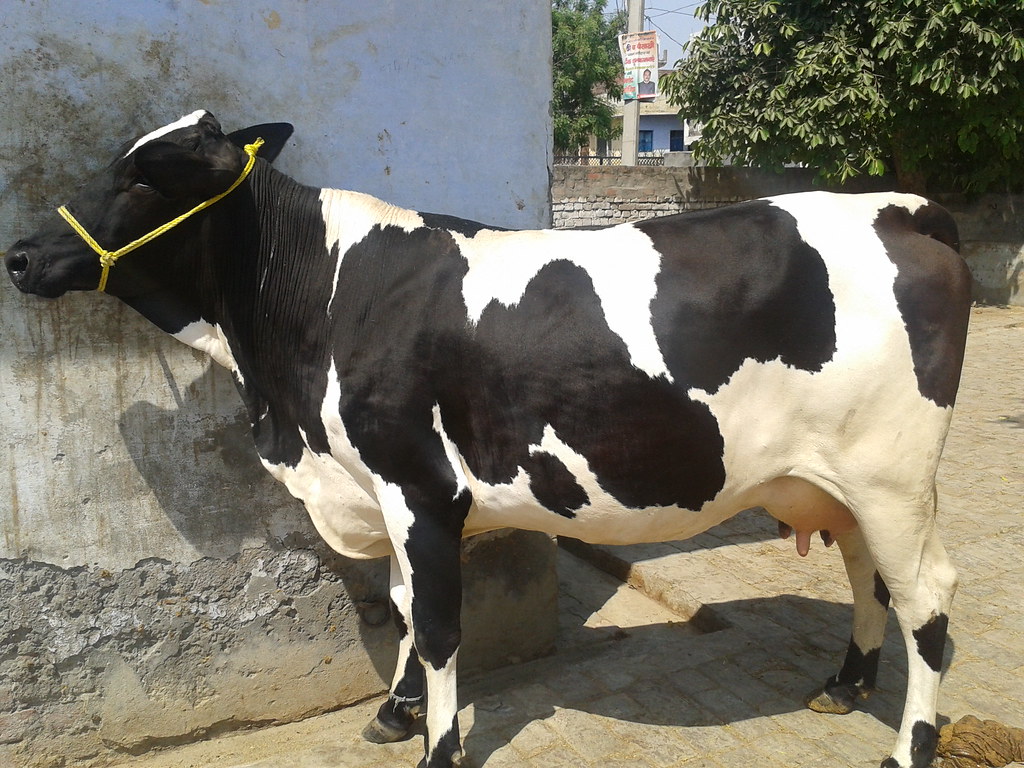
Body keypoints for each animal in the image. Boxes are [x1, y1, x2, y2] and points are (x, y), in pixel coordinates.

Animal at [5, 111, 972, 768]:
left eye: (145, 182)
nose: (19, 254)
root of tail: (900, 204)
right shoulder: (381, 491)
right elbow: (403, 605)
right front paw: (395, 713)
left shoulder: (419, 484)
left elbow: (436, 623)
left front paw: (438, 745)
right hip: (837, 477)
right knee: (870, 577)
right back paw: (844, 685)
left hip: (891, 472)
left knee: (926, 599)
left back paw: (907, 746)